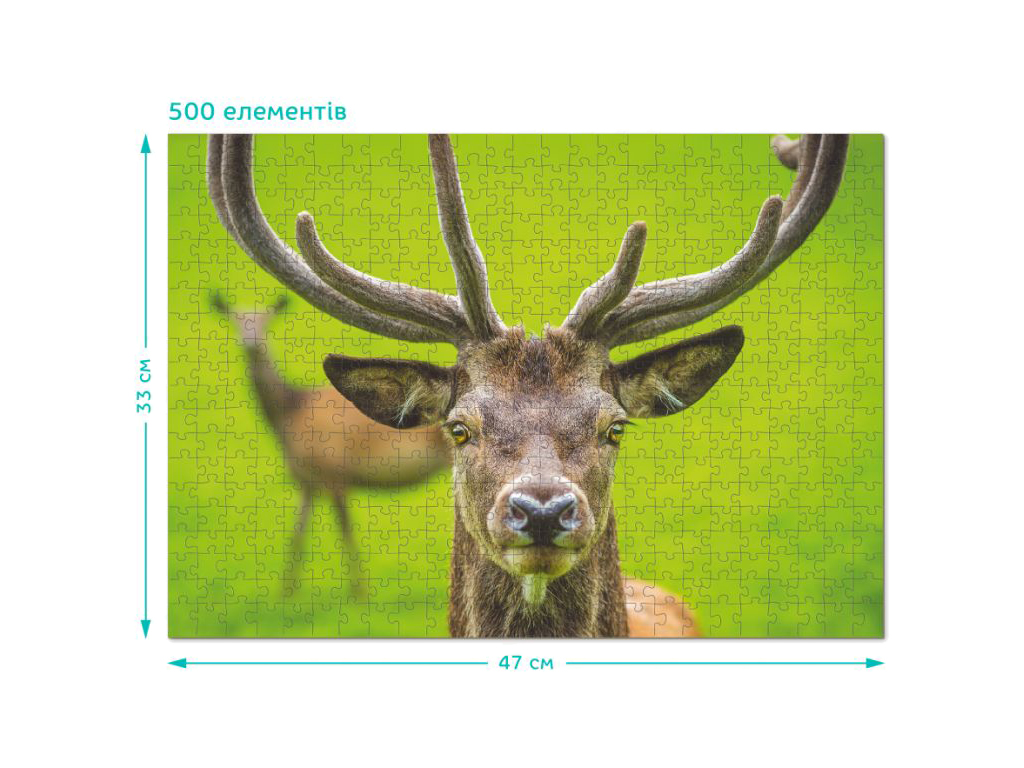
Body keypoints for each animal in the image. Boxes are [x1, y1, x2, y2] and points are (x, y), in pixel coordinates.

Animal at [208, 291, 450, 595]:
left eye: (266, 320)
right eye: (236, 319)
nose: (250, 343)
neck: (290, 415)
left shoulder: (335, 472)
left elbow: (345, 532)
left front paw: (360, 592)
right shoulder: (306, 481)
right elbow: (297, 534)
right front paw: (285, 592)